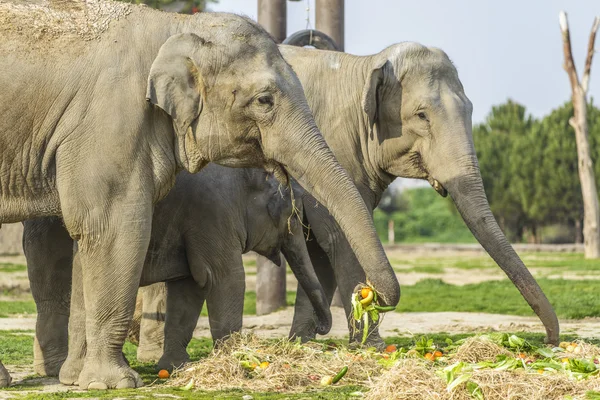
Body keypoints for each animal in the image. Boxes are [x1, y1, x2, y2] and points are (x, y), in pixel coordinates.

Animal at [58, 163, 330, 382]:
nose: (321, 328)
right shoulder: (214, 216)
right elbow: (227, 279)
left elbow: (188, 287)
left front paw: (175, 367)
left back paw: (75, 376)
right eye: (293, 218)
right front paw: (232, 358)